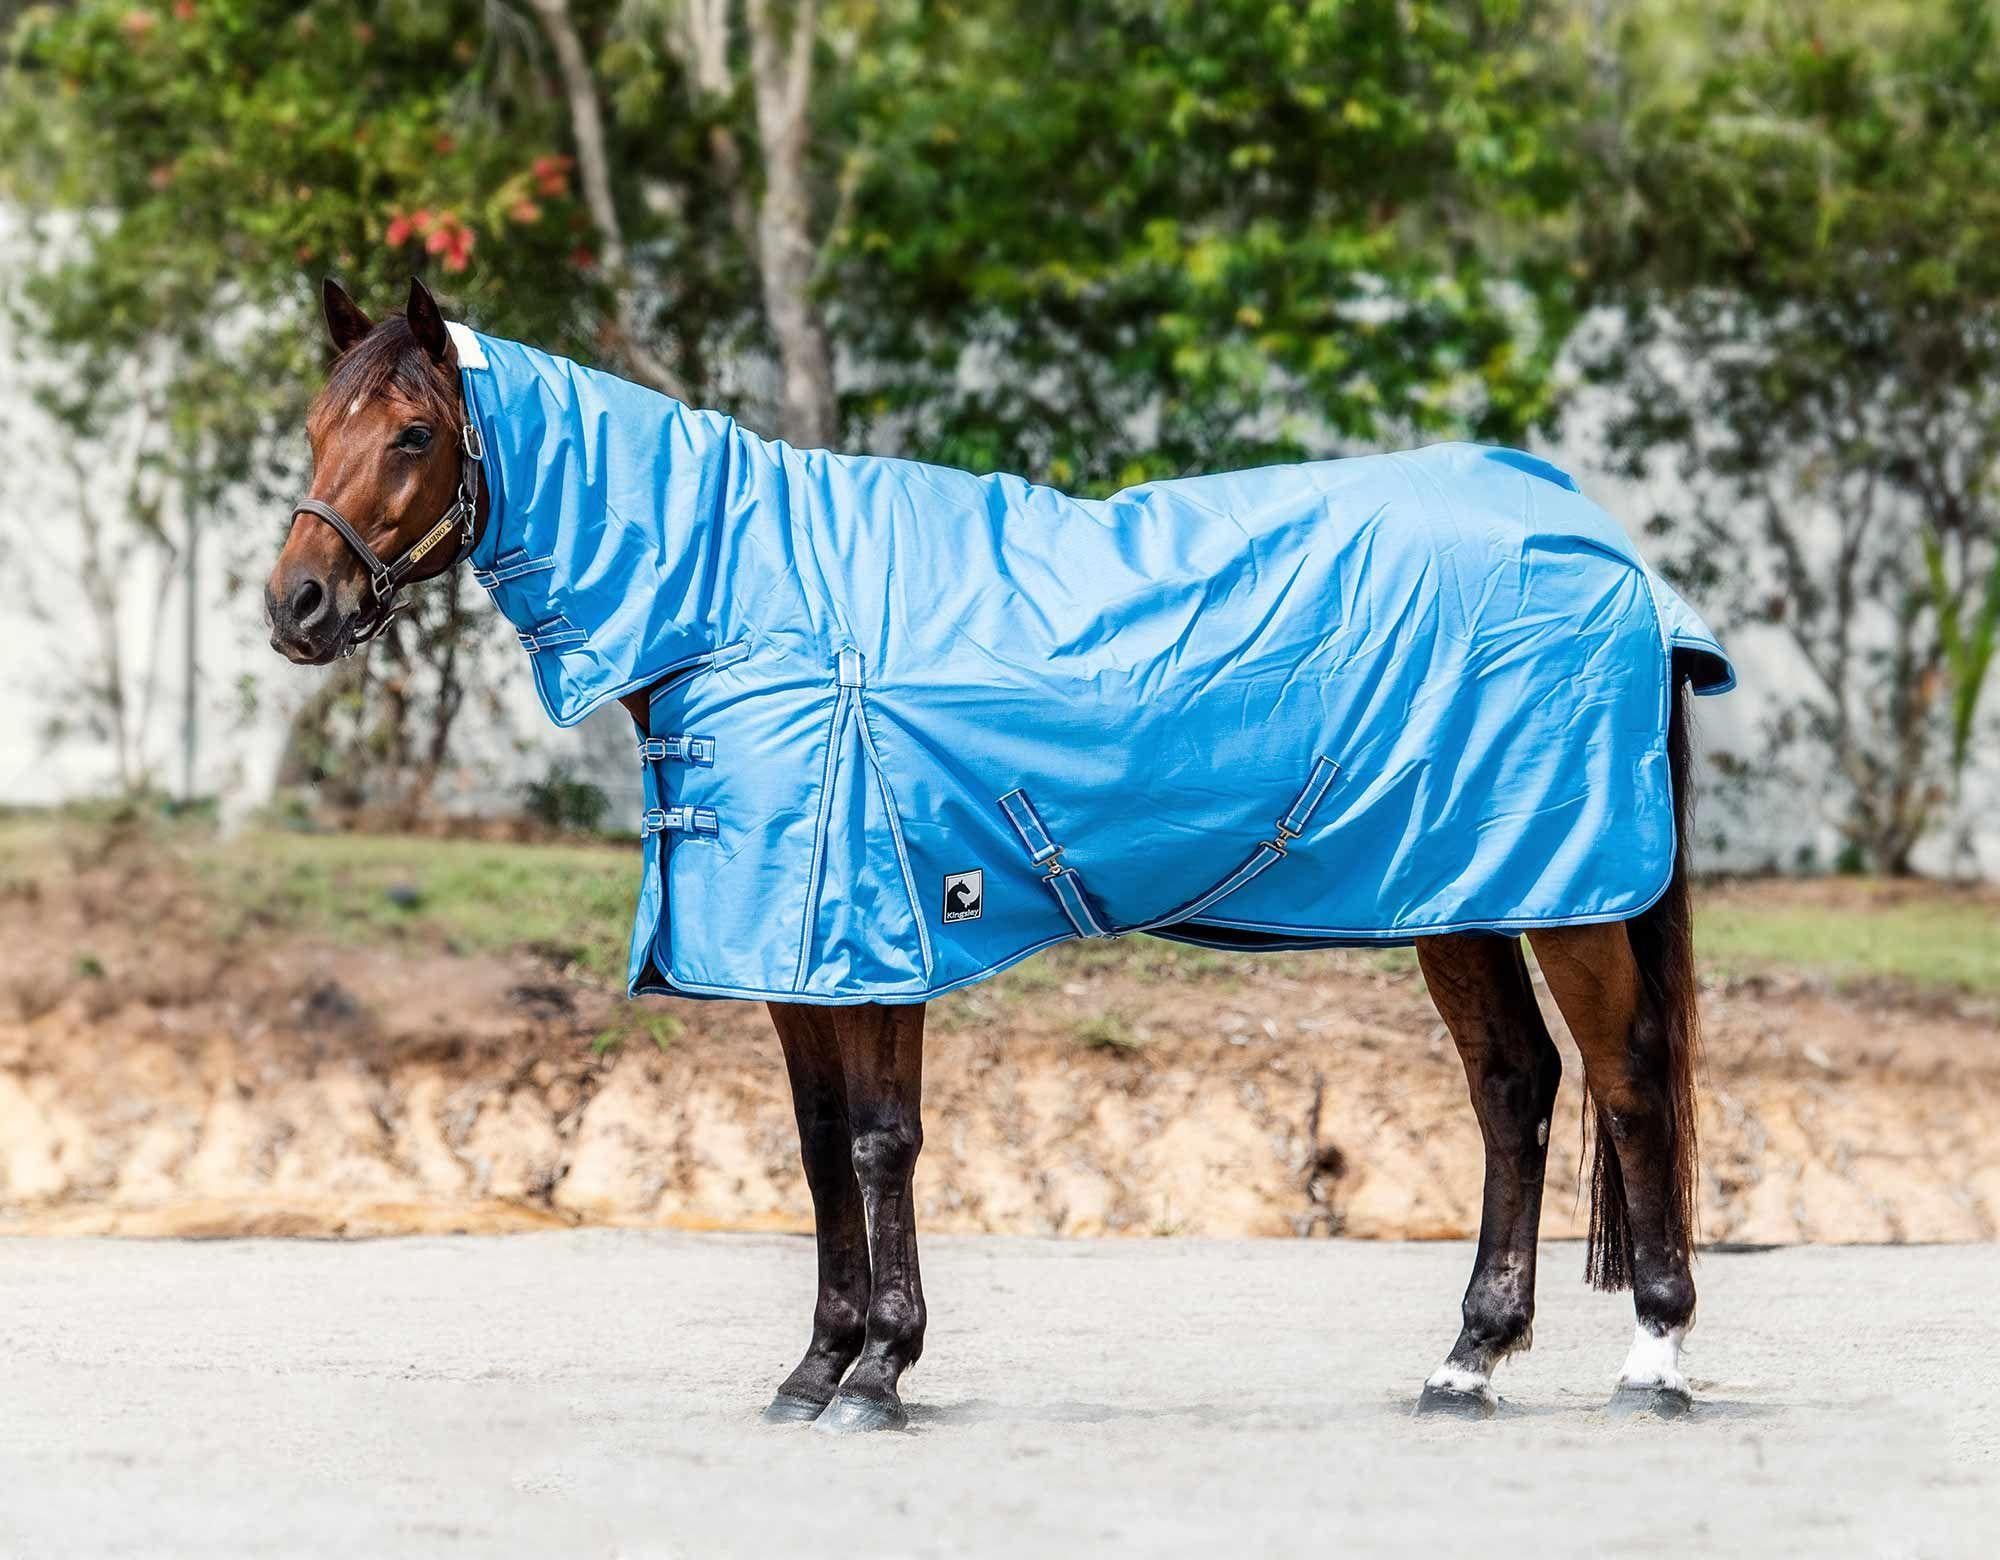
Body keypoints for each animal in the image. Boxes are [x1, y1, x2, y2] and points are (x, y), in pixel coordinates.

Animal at [266, 276, 1722, 1432]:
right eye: (316, 428)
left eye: (412, 433)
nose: (297, 606)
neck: (742, 600)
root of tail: (1612, 555)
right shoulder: (797, 959)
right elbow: (815, 1147)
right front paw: (815, 1369)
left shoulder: (880, 938)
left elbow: (880, 1145)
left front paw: (878, 1375)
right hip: (1460, 891)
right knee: (1514, 1088)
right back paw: (1467, 1361)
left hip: (1568, 896)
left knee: (1626, 1081)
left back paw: (1651, 1360)